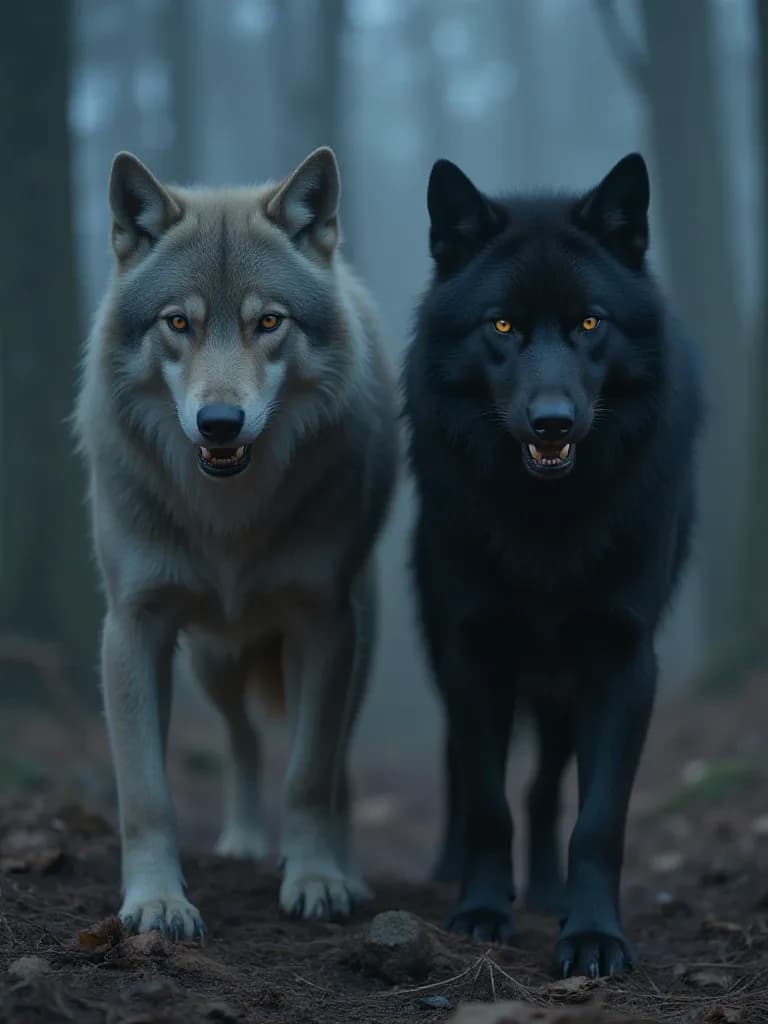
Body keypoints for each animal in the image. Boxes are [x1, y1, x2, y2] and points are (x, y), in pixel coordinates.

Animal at [74, 147, 397, 938]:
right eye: (178, 322)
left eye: (269, 321)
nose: (219, 422)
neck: (229, 519)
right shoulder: (134, 628)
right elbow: (146, 795)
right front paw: (157, 902)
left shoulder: (324, 624)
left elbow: (310, 775)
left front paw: (315, 880)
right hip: (212, 661)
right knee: (241, 738)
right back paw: (246, 842)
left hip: (358, 644)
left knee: (338, 765)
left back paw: (339, 868)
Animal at [404, 154, 702, 976]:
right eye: (501, 324)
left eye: (590, 323)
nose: (552, 423)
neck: (546, 523)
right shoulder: (472, 653)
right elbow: (485, 802)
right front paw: (478, 912)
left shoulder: (622, 661)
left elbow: (596, 821)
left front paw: (593, 935)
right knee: (458, 764)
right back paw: (453, 872)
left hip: (563, 689)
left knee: (544, 789)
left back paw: (547, 892)